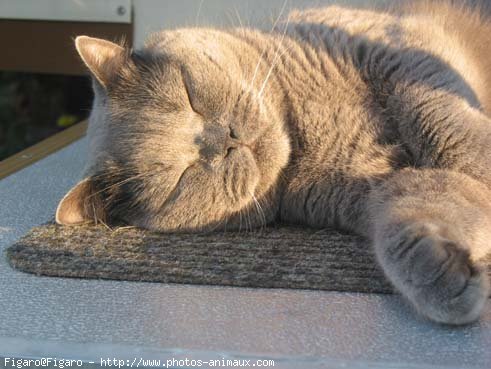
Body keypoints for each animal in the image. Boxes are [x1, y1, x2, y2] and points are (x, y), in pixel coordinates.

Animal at [55, 0, 491, 322]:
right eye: (182, 178)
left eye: (190, 94)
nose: (224, 140)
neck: (301, 133)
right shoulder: (374, 191)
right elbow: (408, 217)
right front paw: (445, 272)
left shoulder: (388, 46)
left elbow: (438, 117)